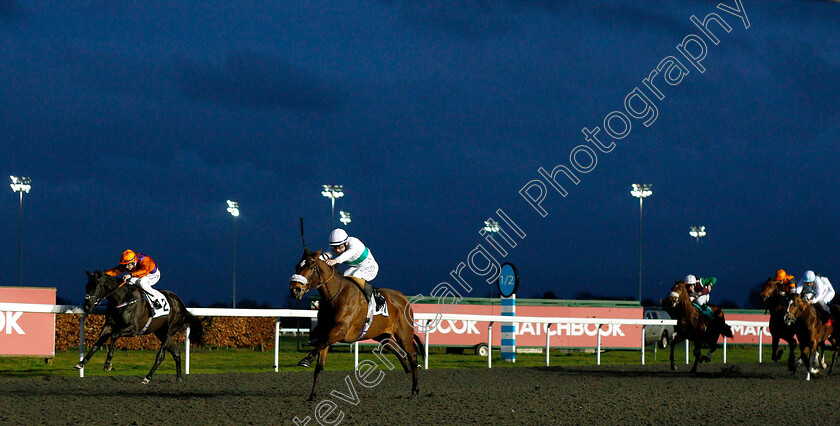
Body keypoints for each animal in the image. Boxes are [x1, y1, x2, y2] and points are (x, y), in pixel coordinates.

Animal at [74, 272, 204, 384]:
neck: (123, 299)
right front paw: (81, 362)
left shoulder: (133, 329)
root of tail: (182, 306)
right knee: (176, 352)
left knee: (161, 355)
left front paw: (107, 364)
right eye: (86, 286)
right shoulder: (108, 326)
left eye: (96, 286)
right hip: (160, 332)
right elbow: (97, 343)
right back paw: (179, 378)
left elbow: (114, 336)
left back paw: (148, 377)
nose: (86, 306)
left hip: (170, 331)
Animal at [290, 248, 426, 402]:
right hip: (381, 334)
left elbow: (321, 344)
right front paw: (312, 395)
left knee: (412, 356)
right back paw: (407, 367)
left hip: (404, 334)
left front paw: (306, 359)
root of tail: (403, 298)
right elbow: (319, 365)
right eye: (297, 266)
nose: (295, 289)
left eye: (311, 267)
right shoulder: (325, 331)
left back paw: (415, 389)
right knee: (395, 348)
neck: (335, 296)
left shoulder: (340, 330)